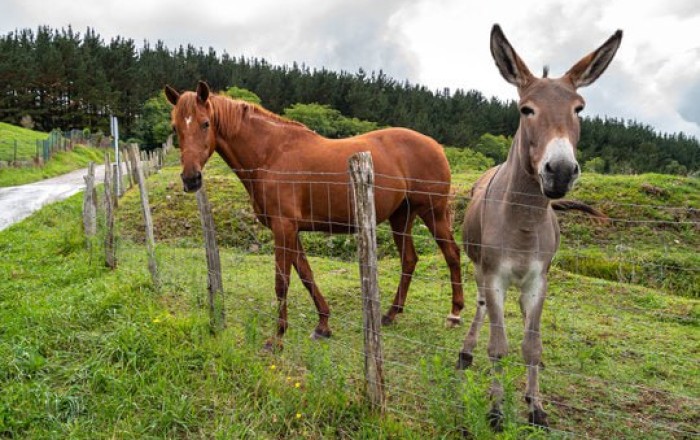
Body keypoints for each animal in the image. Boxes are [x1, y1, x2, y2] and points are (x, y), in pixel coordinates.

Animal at [164, 84, 464, 348]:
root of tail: (435, 146)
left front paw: (277, 338)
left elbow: (282, 282)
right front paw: (323, 325)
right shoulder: (290, 230)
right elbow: (307, 275)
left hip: (433, 213)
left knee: (451, 253)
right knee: (410, 260)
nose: (190, 178)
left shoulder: (283, 228)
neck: (271, 154)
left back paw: (454, 314)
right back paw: (391, 314)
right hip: (401, 217)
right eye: (175, 127)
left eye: (205, 123)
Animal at [456, 24, 620, 430]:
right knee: (480, 306)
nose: (559, 171)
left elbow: (532, 346)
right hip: (479, 269)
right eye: (526, 110)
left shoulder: (538, 281)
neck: (525, 221)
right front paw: (497, 410)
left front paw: (536, 407)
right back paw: (465, 354)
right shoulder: (494, 276)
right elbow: (498, 346)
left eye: (579, 109)